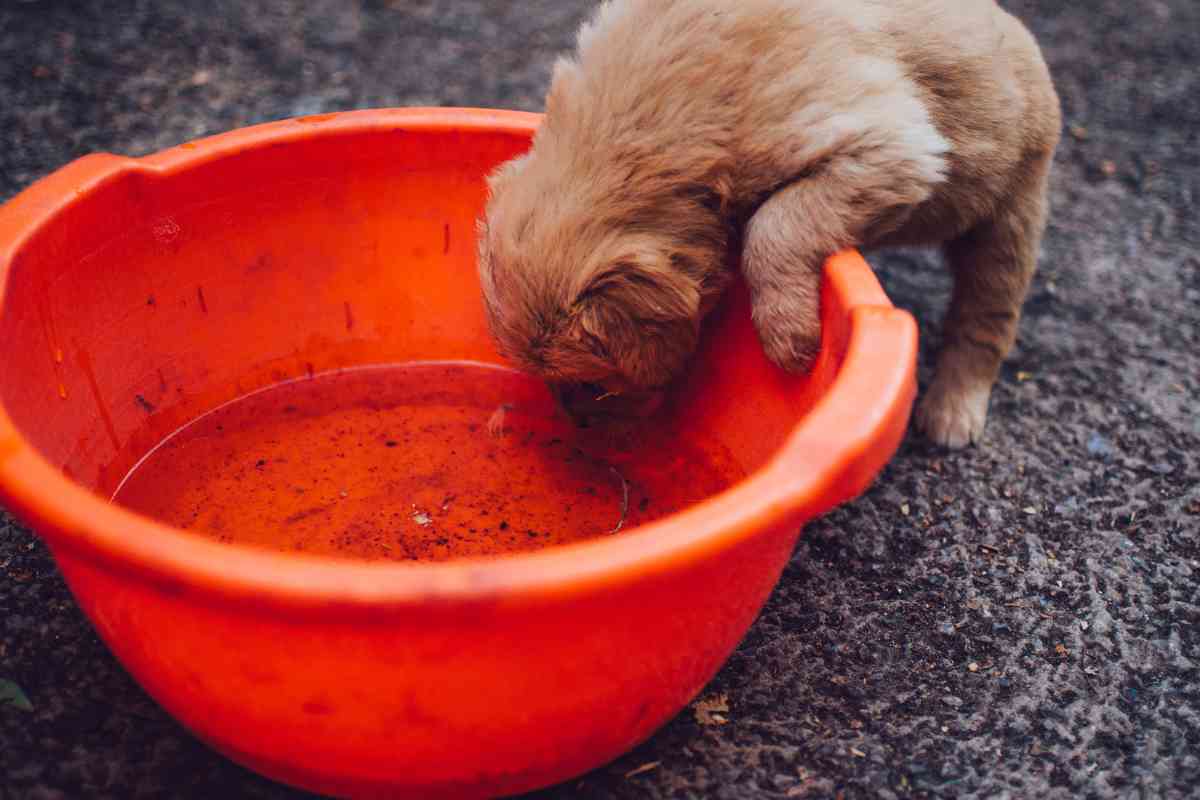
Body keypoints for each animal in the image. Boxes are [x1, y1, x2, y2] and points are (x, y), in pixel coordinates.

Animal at [475, 0, 1060, 450]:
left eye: (594, 382)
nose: (578, 424)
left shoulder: (890, 149)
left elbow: (774, 226)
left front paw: (788, 336)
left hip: (1012, 212)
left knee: (985, 320)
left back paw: (952, 410)